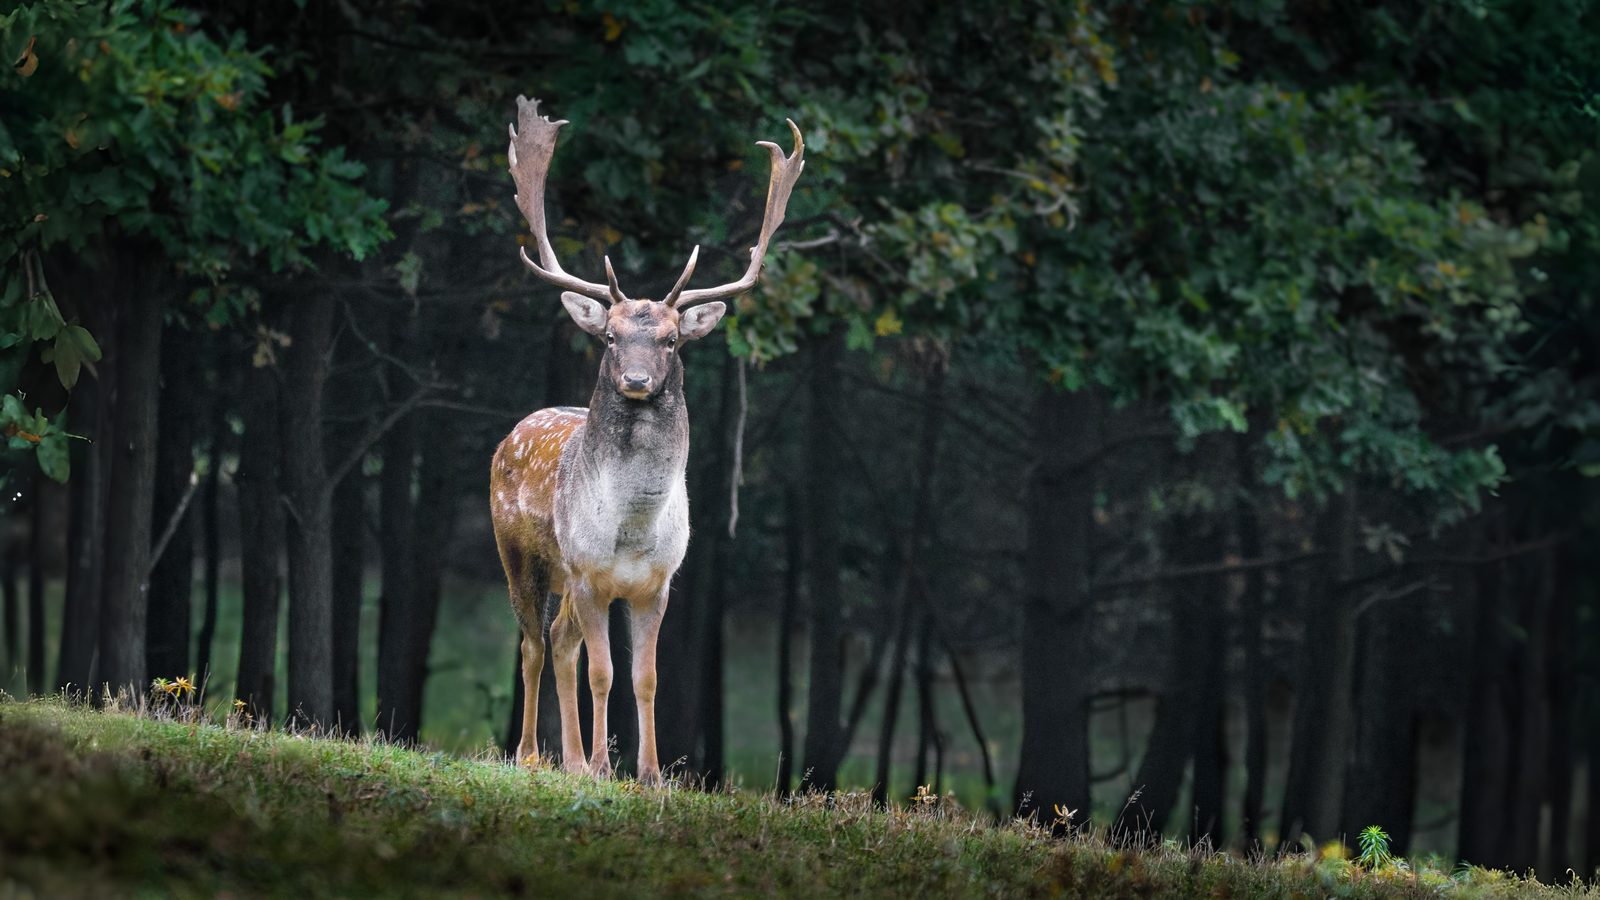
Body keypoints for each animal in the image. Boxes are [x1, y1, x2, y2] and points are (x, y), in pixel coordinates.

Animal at [490, 96, 804, 785]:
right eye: (610, 336)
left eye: (671, 339)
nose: (635, 380)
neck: (632, 529)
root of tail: (512, 434)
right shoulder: (589, 573)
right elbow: (604, 673)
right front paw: (603, 766)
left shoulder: (657, 584)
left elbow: (646, 677)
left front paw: (651, 773)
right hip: (519, 554)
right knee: (533, 643)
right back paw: (532, 755)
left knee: (560, 643)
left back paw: (569, 759)